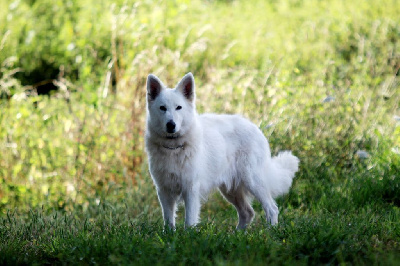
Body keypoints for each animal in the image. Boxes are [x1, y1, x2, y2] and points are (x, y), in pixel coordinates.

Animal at [145, 72, 298, 229]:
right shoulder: (164, 191)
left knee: (271, 209)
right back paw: (238, 233)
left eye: (178, 107)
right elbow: (168, 221)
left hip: (253, 181)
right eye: (162, 108)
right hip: (230, 190)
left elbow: (189, 221)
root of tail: (256, 128)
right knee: (247, 213)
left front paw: (188, 234)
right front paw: (171, 234)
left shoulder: (191, 189)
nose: (171, 125)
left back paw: (270, 231)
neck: (174, 147)